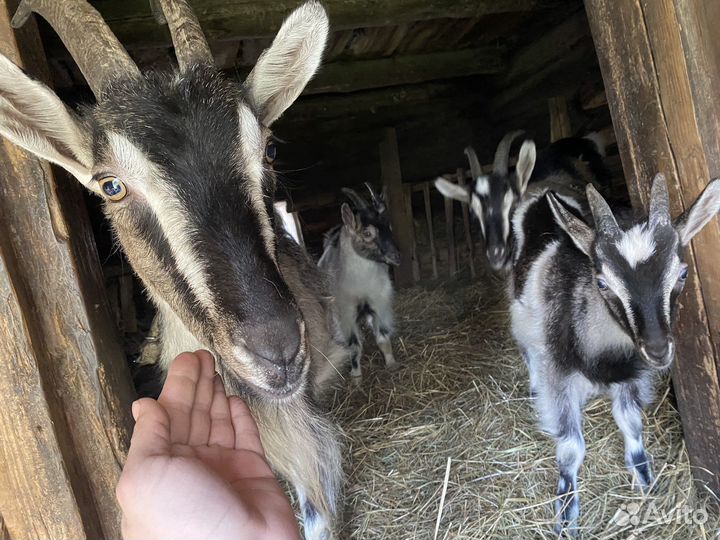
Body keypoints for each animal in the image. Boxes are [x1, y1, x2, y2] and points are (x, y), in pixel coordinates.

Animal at [318, 184, 401, 379]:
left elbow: (383, 338)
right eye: (367, 232)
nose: (396, 257)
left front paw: (391, 363)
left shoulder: (379, 304)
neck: (361, 286)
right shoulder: (345, 313)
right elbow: (354, 346)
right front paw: (356, 375)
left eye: (389, 227)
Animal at [511, 172, 720, 534]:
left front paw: (647, 485)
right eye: (602, 283)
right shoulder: (559, 376)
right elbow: (570, 447)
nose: (658, 349)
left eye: (682, 273)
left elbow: (632, 426)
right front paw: (566, 518)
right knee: (528, 349)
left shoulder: (631, 376)